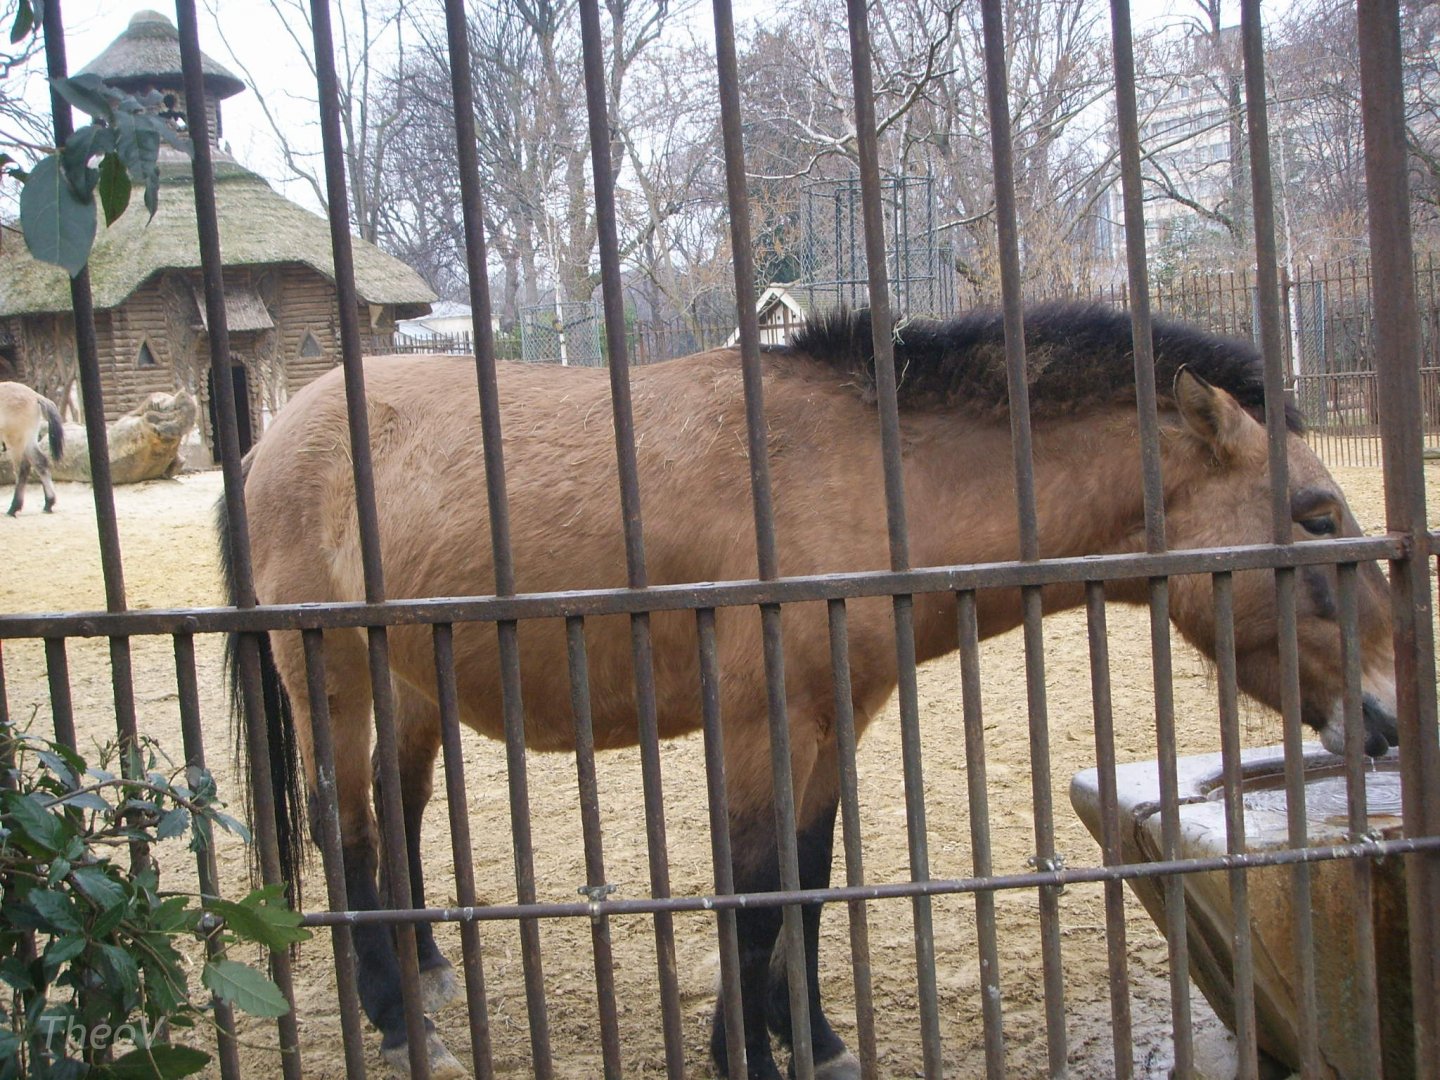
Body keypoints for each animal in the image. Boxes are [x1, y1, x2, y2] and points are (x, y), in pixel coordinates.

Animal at [0, 382, 64, 516]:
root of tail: (35, 396)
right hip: (28, 441)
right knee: (41, 463)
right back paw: (48, 504)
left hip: (15, 442)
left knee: (22, 469)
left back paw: (13, 509)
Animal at [221, 303, 1399, 1080]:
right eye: (1318, 515)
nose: (1387, 719)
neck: (859, 478)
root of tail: (275, 438)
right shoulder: (760, 728)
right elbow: (753, 897)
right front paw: (744, 1051)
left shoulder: (832, 725)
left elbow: (808, 882)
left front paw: (814, 1039)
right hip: (331, 679)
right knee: (345, 825)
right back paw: (392, 1016)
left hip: (408, 685)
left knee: (398, 812)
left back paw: (422, 968)